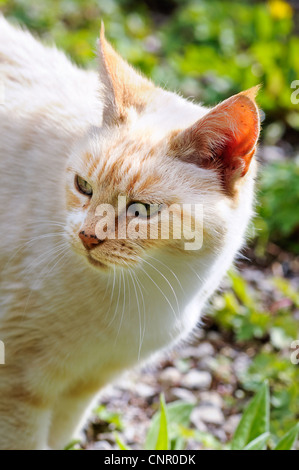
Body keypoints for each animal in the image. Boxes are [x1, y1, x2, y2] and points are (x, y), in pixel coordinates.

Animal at [0, 17, 260, 452]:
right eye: (83, 186)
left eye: (141, 211)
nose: (88, 236)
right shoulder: (18, 387)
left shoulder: (84, 387)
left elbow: (61, 437)